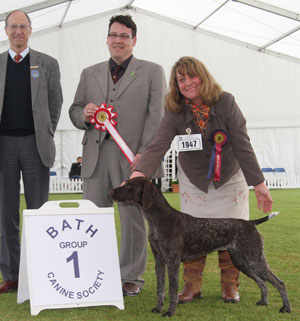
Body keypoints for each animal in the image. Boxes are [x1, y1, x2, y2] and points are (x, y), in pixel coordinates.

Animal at [110, 176, 290, 316]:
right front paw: (158, 308)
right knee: (263, 282)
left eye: (129, 186)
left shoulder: (173, 261)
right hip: (241, 261)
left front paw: (170, 312)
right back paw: (264, 302)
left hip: (255, 259)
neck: (158, 219)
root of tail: (251, 223)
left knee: (279, 282)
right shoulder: (159, 261)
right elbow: (160, 289)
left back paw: (285, 308)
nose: (111, 191)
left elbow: (172, 290)